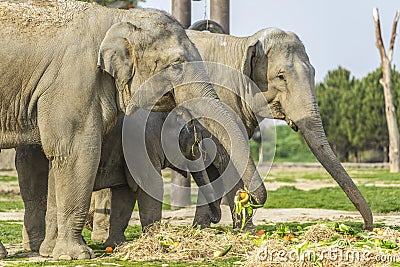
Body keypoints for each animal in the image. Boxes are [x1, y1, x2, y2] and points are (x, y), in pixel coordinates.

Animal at [1, 0, 264, 260]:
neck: (115, 18)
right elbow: (77, 151)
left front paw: (116, 245)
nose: (249, 199)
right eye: (177, 64)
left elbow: (120, 188)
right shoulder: (72, 82)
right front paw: (77, 256)